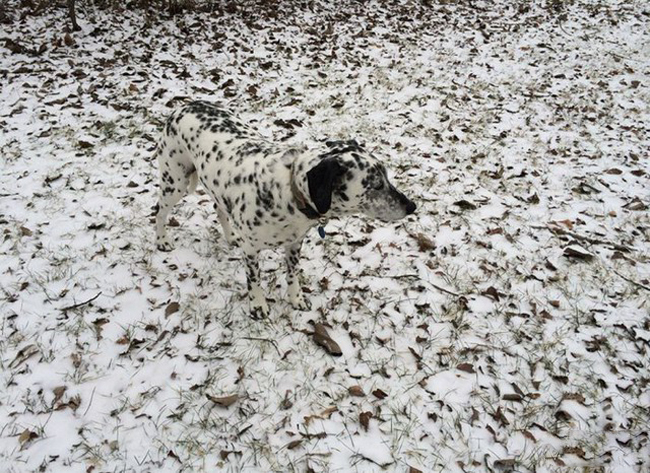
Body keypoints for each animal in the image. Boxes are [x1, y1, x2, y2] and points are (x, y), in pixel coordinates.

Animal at [154, 101, 412, 318]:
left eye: (386, 176)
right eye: (376, 184)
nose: (412, 206)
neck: (288, 191)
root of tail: (183, 106)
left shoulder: (295, 243)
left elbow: (292, 274)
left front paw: (296, 299)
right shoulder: (251, 250)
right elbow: (254, 279)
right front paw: (258, 306)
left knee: (219, 208)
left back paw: (230, 236)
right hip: (174, 181)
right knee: (160, 211)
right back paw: (162, 240)